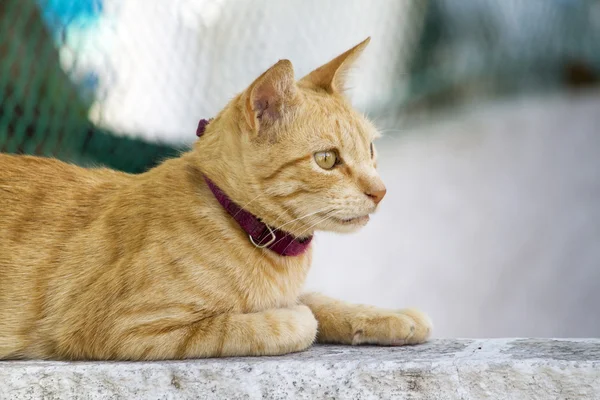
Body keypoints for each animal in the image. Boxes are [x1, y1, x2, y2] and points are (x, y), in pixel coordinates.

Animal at [0, 39, 432, 360]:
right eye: (327, 159)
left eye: (371, 150)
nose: (381, 191)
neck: (237, 218)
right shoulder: (123, 326)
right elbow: (273, 323)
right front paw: (296, 318)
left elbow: (322, 300)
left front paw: (388, 316)